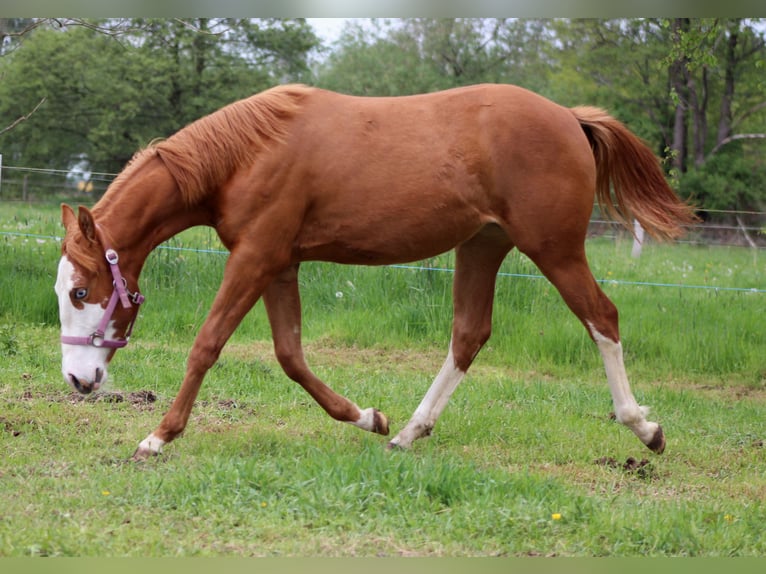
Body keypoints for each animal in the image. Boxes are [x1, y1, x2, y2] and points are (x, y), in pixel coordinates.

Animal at [54, 83, 697, 462]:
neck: (248, 153)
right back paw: (410, 431)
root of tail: (570, 117)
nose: (78, 381)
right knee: (469, 335)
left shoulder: (255, 257)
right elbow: (290, 355)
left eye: (82, 291)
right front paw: (367, 418)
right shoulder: (280, 263)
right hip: (483, 247)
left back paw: (643, 428)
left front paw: (158, 436)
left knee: (601, 318)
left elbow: (207, 345)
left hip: (555, 250)